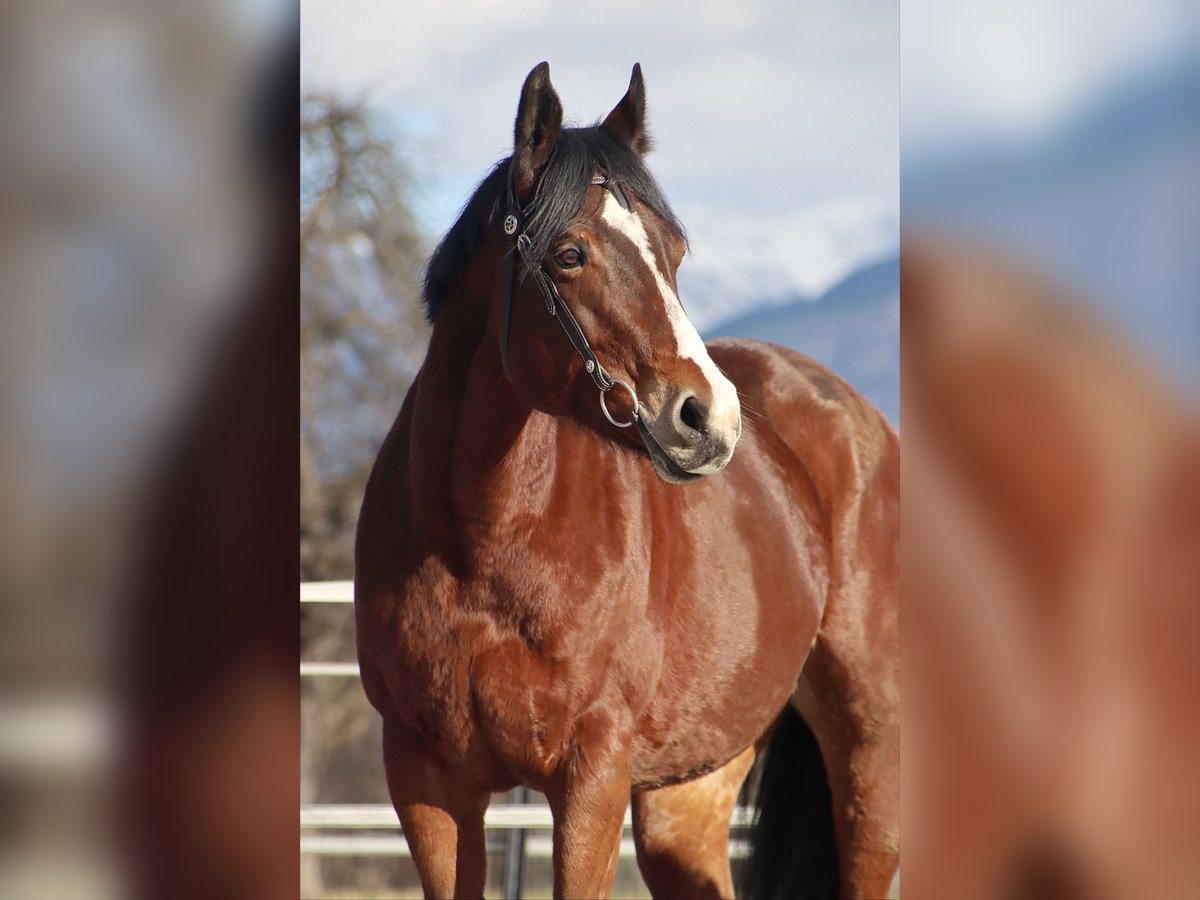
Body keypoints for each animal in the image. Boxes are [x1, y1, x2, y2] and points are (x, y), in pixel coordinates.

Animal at [350, 60, 897, 897]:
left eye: (674, 250)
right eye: (569, 253)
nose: (709, 418)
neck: (479, 540)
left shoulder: (592, 777)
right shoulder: (426, 783)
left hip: (868, 749)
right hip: (685, 796)